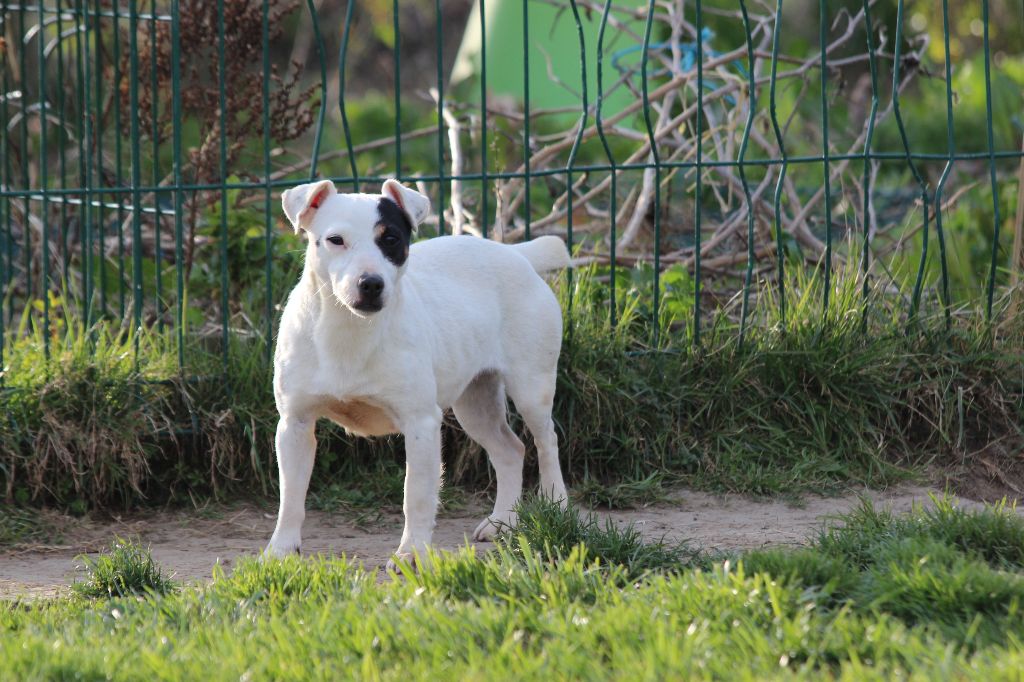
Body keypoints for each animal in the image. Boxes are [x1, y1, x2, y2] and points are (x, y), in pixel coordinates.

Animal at [266, 178, 569, 561]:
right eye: (335, 240)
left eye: (391, 239)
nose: (371, 283)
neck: (348, 330)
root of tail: (517, 255)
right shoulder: (295, 425)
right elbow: (290, 498)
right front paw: (280, 552)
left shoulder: (421, 424)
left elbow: (417, 496)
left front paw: (411, 554)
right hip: (475, 404)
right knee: (510, 451)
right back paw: (501, 523)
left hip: (532, 389)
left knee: (546, 443)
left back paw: (557, 505)